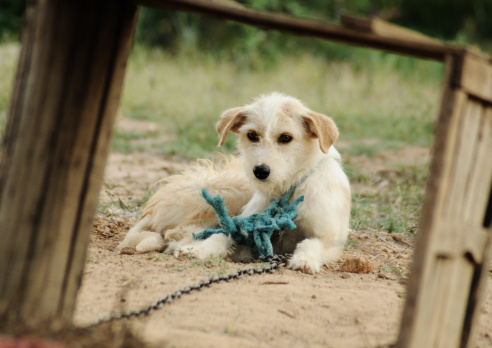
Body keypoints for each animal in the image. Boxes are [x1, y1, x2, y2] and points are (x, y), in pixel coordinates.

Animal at [117, 92, 352, 274]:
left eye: (286, 137)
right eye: (252, 135)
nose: (260, 171)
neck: (288, 191)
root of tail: (153, 206)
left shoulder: (329, 239)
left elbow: (311, 245)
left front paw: (304, 260)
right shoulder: (245, 227)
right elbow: (221, 237)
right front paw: (198, 250)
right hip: (226, 194)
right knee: (174, 231)